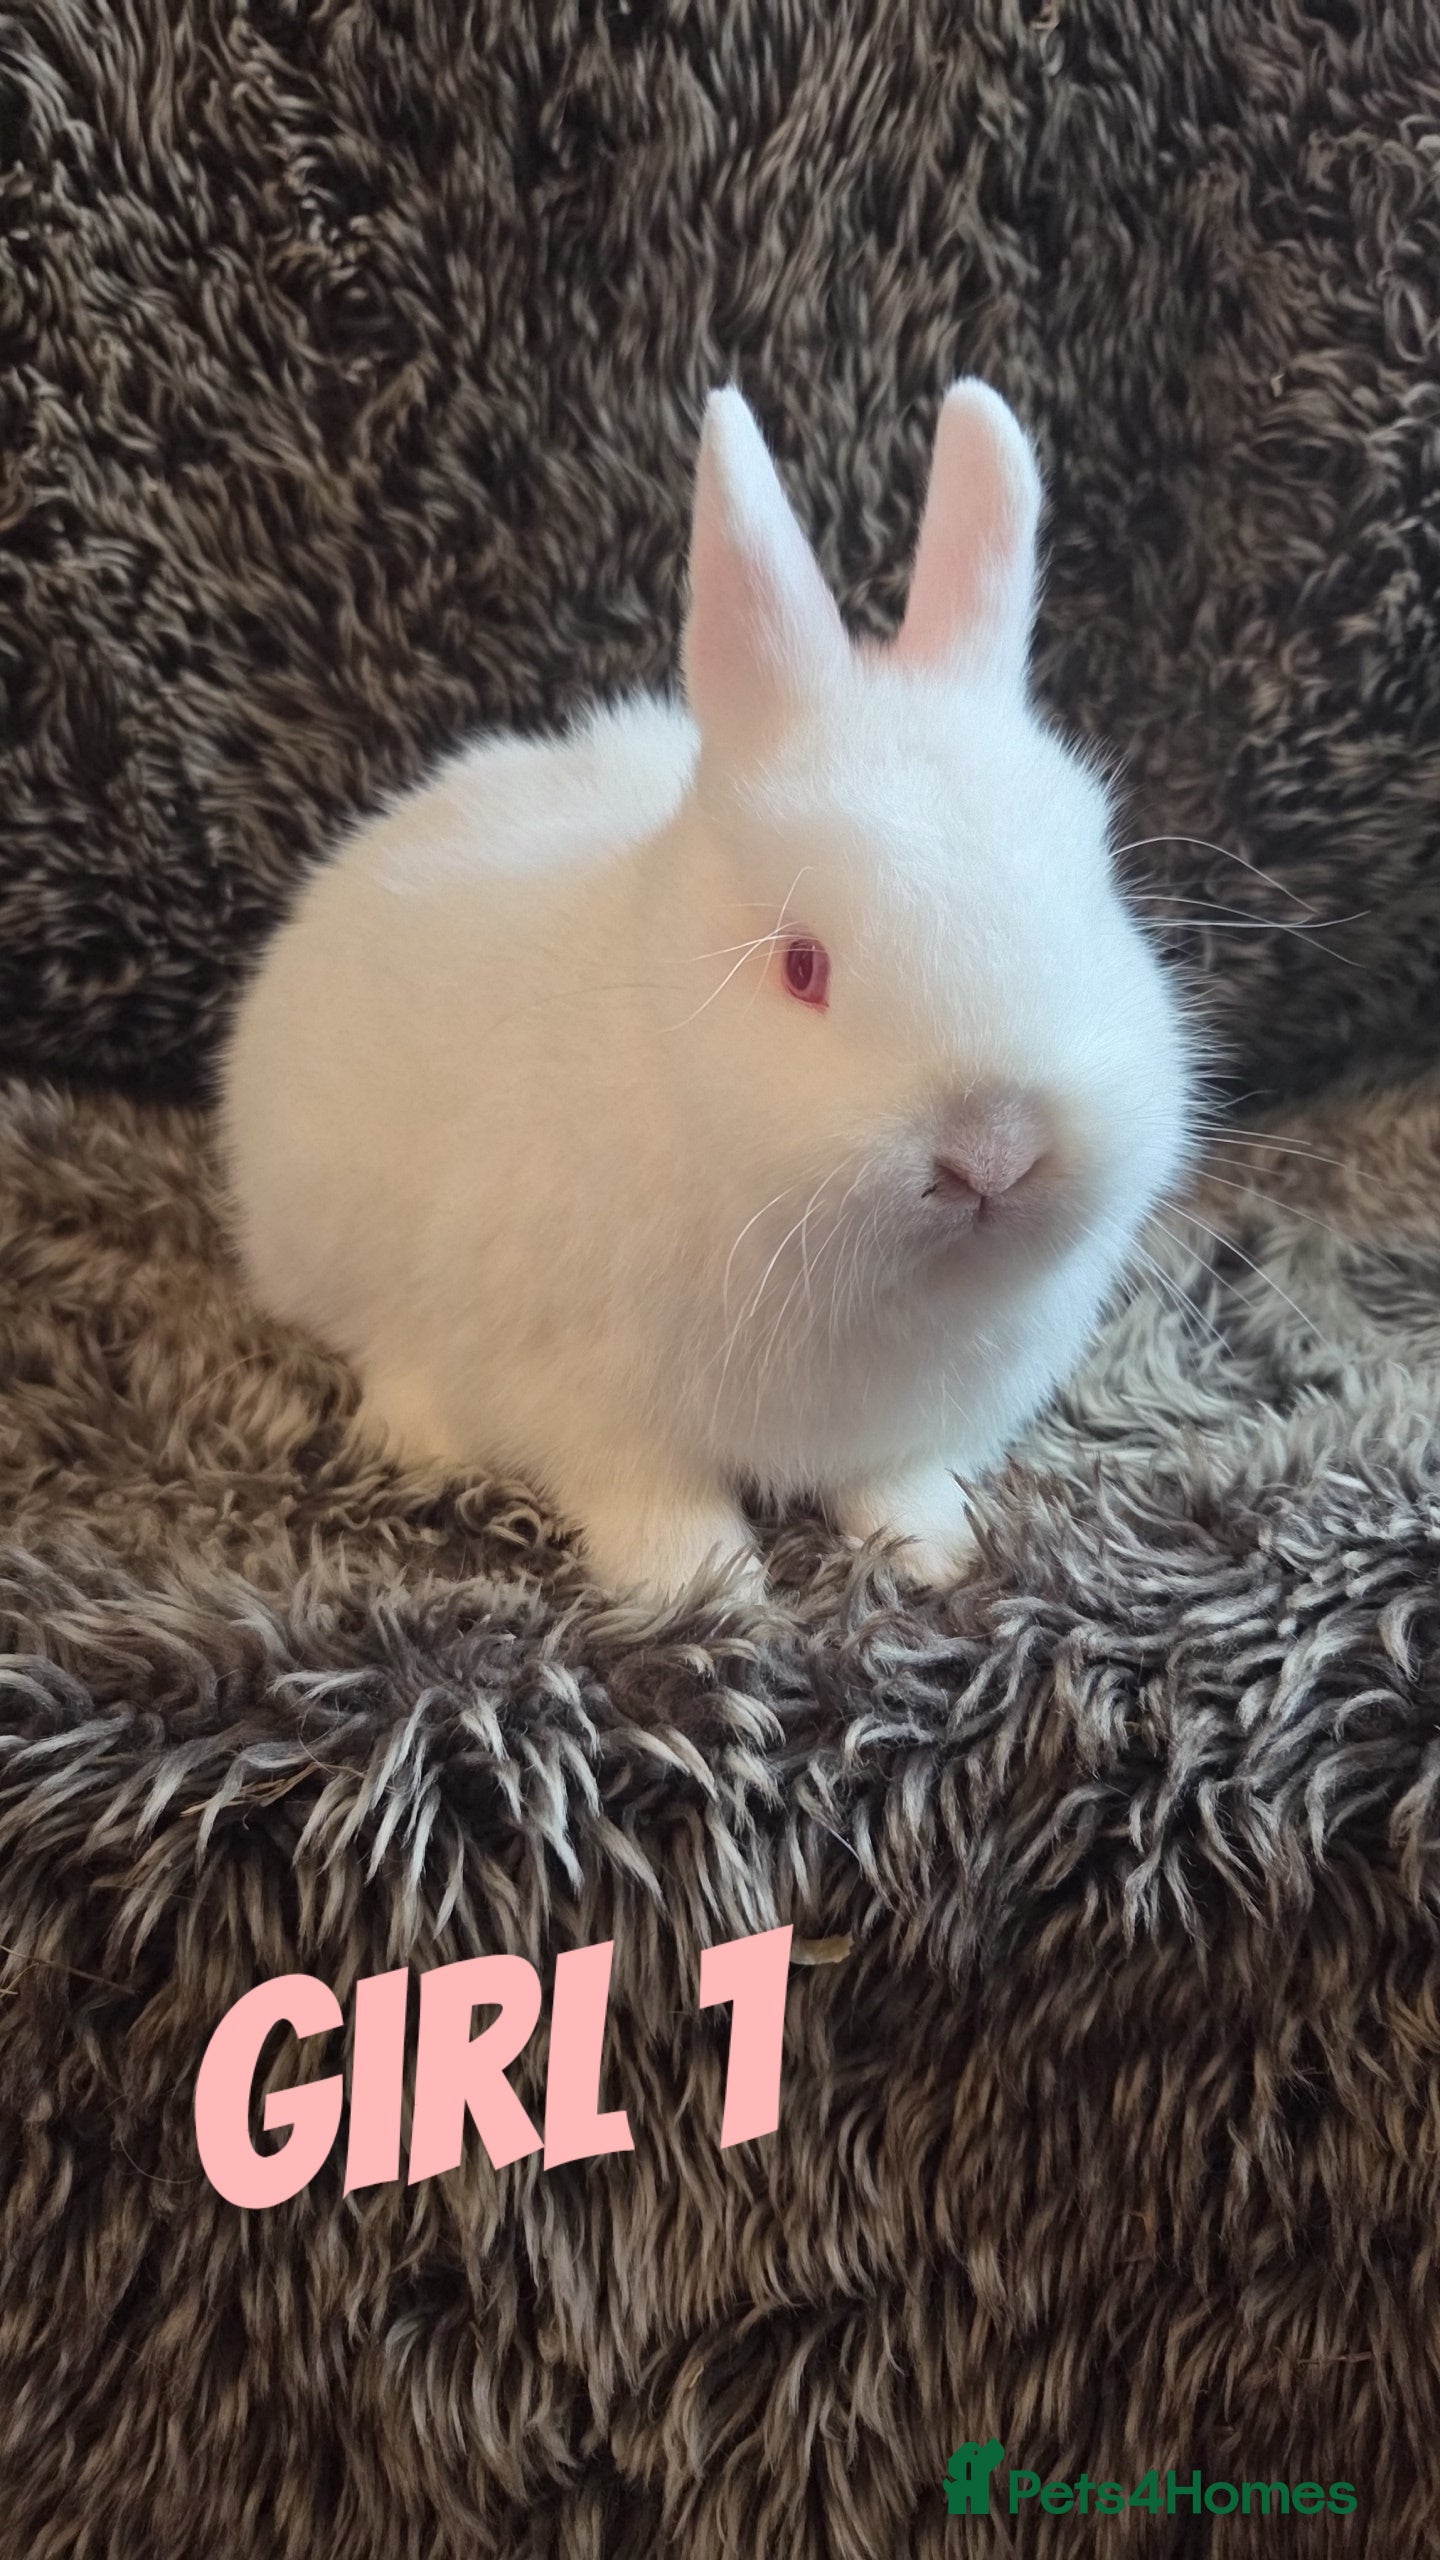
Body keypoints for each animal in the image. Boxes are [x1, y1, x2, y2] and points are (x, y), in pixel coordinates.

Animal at [218, 379, 1194, 1607]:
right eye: (801, 967)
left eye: (1094, 892)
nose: (994, 1151)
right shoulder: (591, 1409)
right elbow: (653, 1498)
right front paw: (708, 1590)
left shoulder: (905, 1429)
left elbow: (895, 1484)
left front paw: (934, 1554)